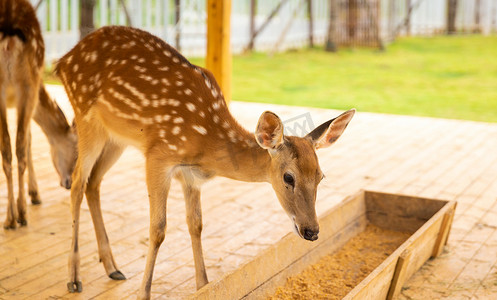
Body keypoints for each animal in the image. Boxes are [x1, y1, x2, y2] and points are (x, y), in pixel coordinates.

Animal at [0, 0, 77, 229]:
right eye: (76, 151)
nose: (69, 183)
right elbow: (29, 140)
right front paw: (34, 194)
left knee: (9, 149)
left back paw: (10, 218)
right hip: (29, 82)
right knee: (18, 147)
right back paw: (21, 214)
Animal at [54, 25, 354, 298]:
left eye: (321, 176)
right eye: (288, 177)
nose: (312, 231)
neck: (206, 145)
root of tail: (63, 61)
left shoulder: (191, 176)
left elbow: (196, 224)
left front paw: (203, 285)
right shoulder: (158, 155)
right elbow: (158, 229)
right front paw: (144, 293)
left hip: (116, 137)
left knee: (93, 182)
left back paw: (112, 267)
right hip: (86, 117)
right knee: (77, 182)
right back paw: (74, 278)